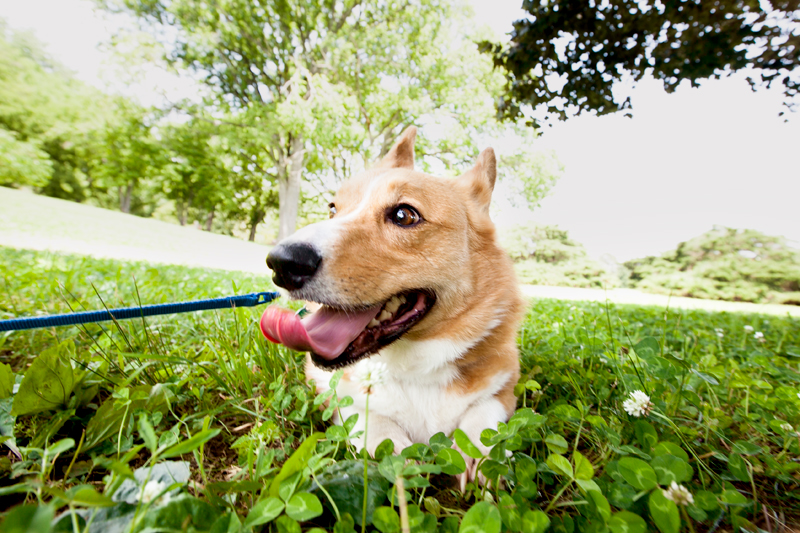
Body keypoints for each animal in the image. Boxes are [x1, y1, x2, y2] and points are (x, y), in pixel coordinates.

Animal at [262, 125, 524, 486]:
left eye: (404, 214)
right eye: (332, 209)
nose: (280, 263)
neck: (416, 369)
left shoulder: (504, 388)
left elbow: (484, 414)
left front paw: (478, 453)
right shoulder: (326, 383)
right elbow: (361, 413)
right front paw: (394, 450)